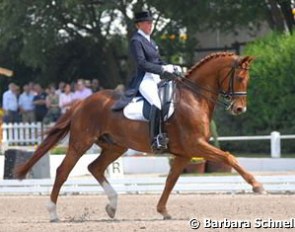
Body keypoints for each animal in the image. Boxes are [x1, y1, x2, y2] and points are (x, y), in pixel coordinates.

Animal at [15, 51, 268, 222]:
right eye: (240, 78)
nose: (239, 109)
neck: (194, 98)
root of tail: (82, 102)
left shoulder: (185, 153)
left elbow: (170, 180)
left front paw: (163, 210)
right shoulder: (196, 145)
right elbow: (228, 157)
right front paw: (257, 186)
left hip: (115, 146)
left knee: (95, 168)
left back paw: (112, 207)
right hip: (81, 143)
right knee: (62, 171)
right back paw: (53, 212)